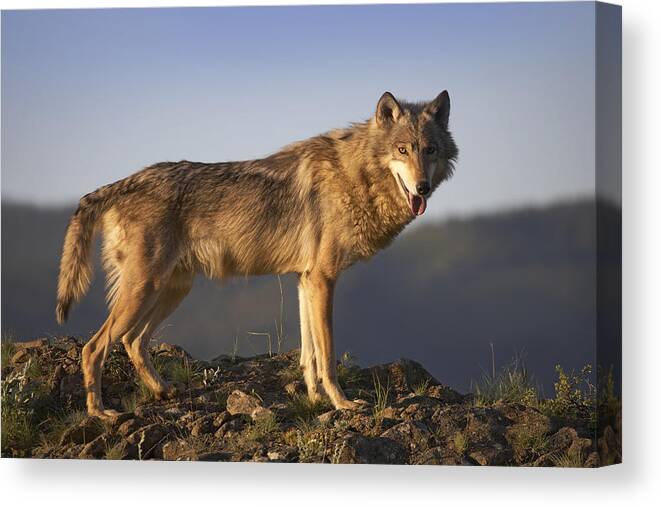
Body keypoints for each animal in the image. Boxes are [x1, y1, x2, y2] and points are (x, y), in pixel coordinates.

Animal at [56, 90, 456, 416]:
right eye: (402, 150)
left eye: (430, 150)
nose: (422, 187)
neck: (355, 175)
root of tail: (120, 183)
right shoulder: (323, 278)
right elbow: (326, 354)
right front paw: (341, 403)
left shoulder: (306, 281)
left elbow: (309, 354)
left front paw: (314, 400)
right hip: (146, 289)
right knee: (94, 348)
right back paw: (100, 413)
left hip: (172, 289)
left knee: (132, 341)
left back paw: (163, 392)